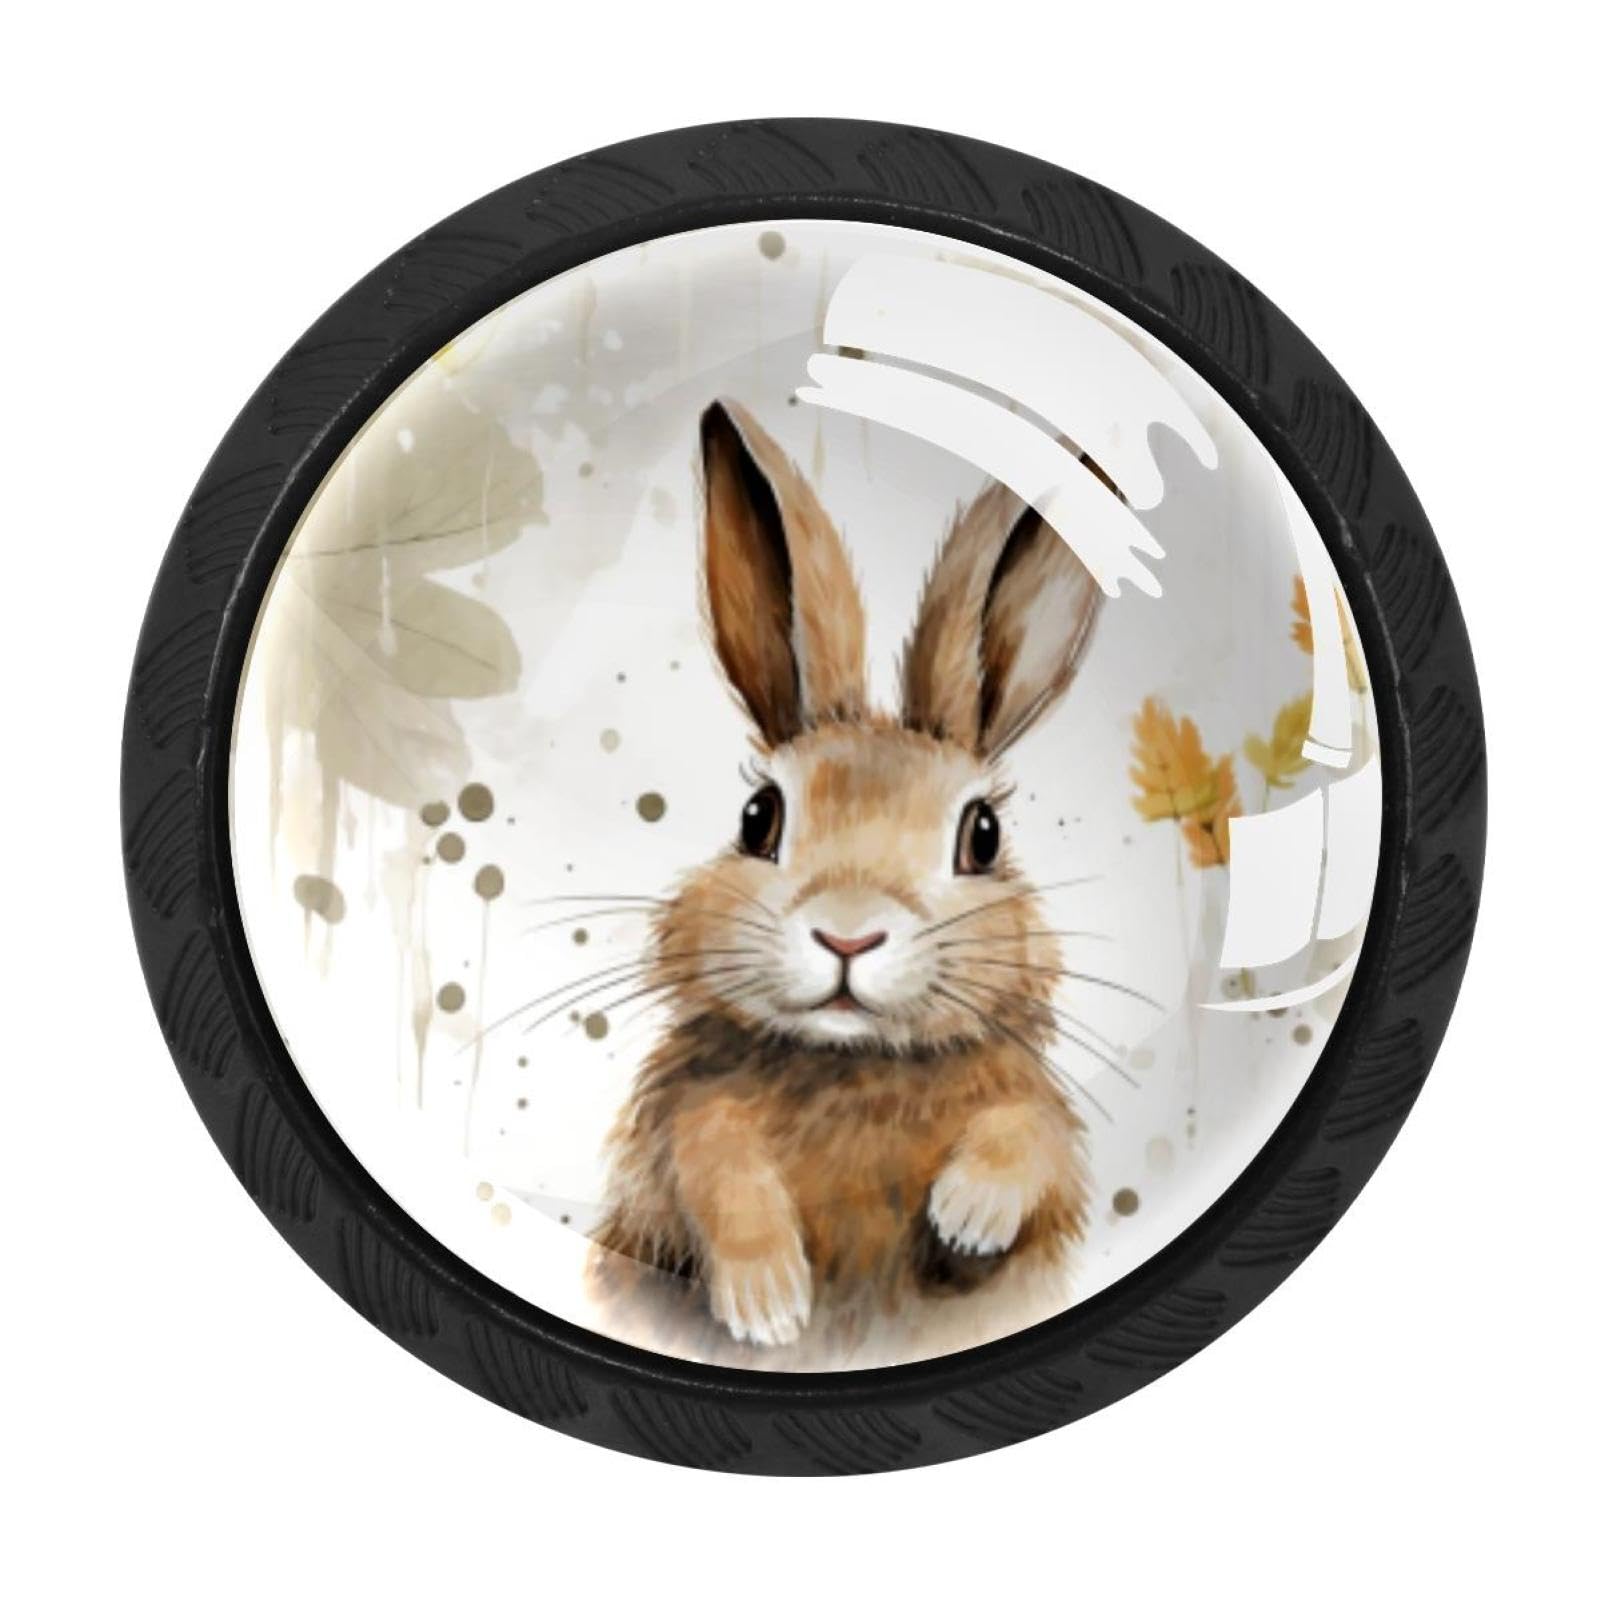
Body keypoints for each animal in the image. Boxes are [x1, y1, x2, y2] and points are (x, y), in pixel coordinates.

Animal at [588, 399, 1105, 1368]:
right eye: (759, 817)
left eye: (981, 836)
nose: (847, 935)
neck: (855, 1068)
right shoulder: (678, 1130)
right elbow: (712, 1155)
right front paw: (768, 1306)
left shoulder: (1040, 1120)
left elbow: (1032, 1133)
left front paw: (968, 1215)